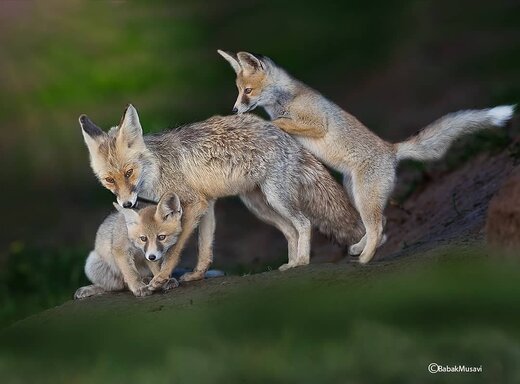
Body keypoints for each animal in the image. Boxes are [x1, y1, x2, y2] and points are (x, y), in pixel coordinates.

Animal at [79, 103, 364, 290]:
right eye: (109, 180)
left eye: (129, 172)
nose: (127, 204)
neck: (158, 168)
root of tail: (287, 135)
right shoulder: (207, 205)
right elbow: (205, 250)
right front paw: (195, 276)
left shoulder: (195, 204)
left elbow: (174, 251)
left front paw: (160, 279)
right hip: (260, 206)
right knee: (290, 231)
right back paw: (291, 263)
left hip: (276, 199)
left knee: (304, 223)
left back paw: (302, 261)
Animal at [216, 48, 516, 264]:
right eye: (239, 91)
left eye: (247, 91)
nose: (234, 110)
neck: (285, 101)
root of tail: (391, 148)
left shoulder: (317, 124)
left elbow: (279, 123)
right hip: (356, 196)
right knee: (381, 224)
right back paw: (359, 249)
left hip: (364, 198)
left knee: (377, 229)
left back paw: (365, 259)